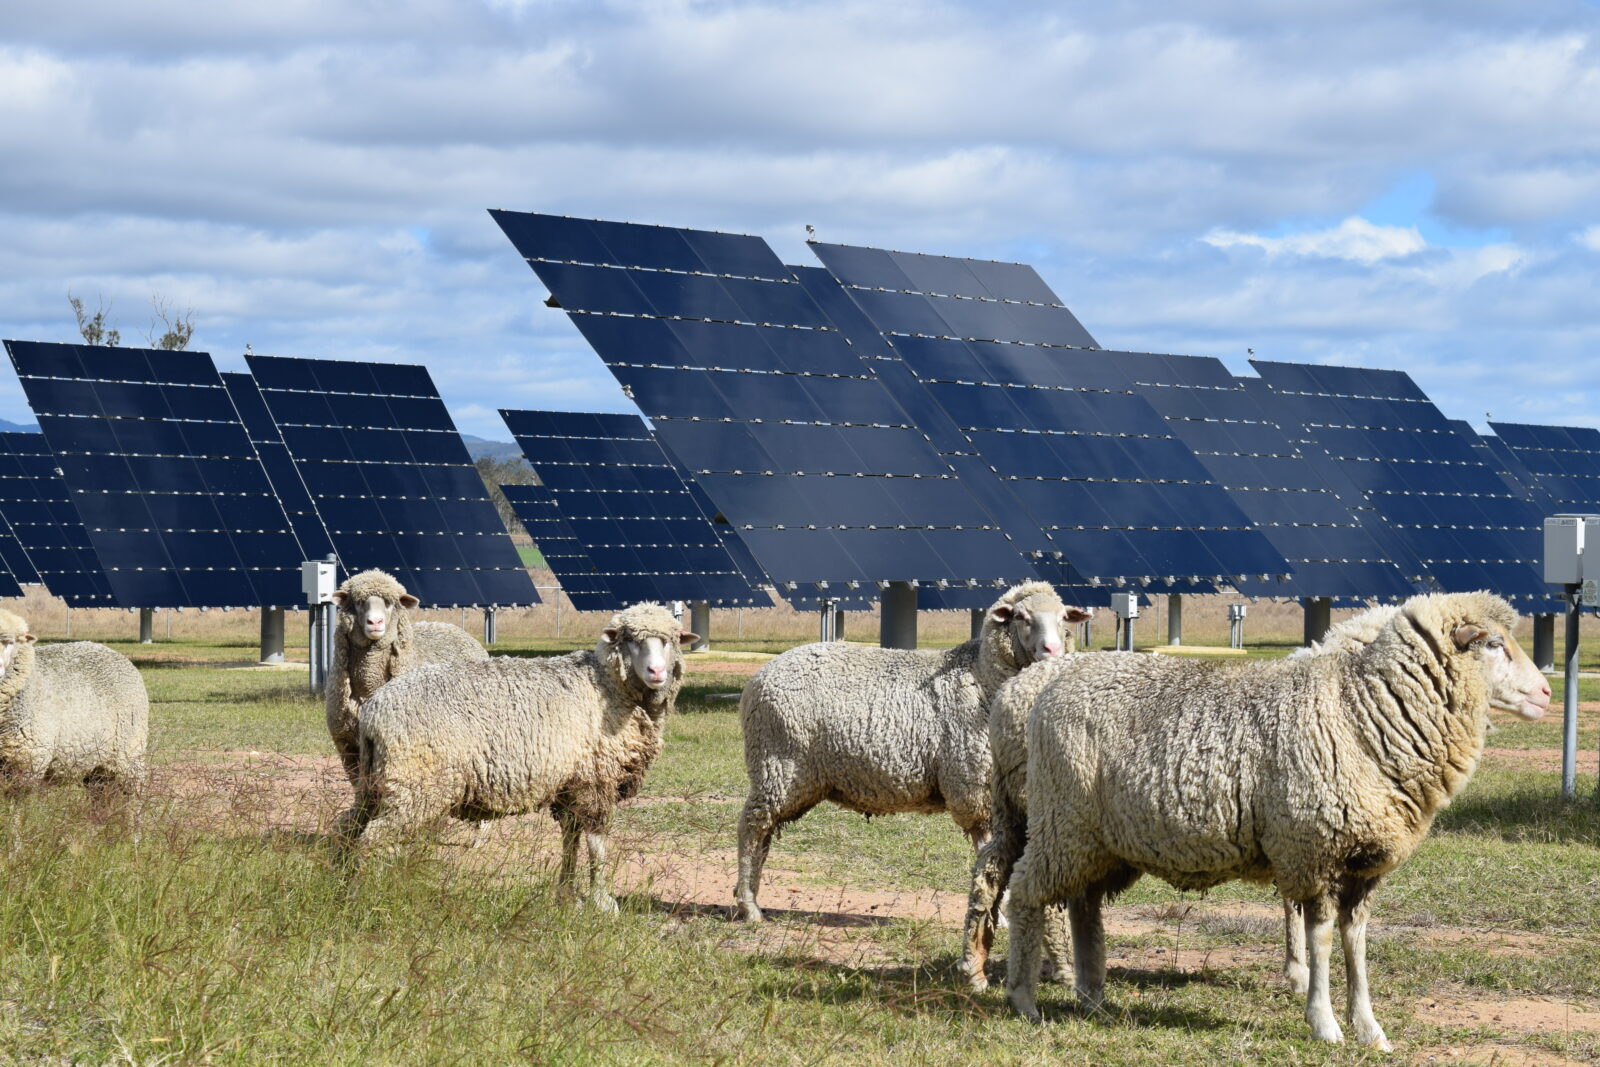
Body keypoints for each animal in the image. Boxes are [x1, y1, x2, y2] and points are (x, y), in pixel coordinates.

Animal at [325, 568, 489, 785]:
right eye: (358, 602)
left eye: (390, 603)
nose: (375, 622)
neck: (367, 689)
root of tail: (454, 628)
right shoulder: (346, 744)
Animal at [335, 603, 697, 910]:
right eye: (630, 640)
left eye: (670, 640)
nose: (656, 672)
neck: (607, 687)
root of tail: (374, 711)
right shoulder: (595, 781)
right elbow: (597, 843)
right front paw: (602, 902)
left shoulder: (569, 785)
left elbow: (571, 840)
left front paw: (566, 895)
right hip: (417, 786)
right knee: (375, 838)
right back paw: (369, 897)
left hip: (378, 783)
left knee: (350, 828)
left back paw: (342, 885)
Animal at [733, 581, 1091, 922]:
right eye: (1020, 617)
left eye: (1063, 617)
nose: (1051, 650)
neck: (982, 677)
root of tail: (758, 678)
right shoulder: (976, 789)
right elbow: (990, 854)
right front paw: (997, 915)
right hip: (777, 764)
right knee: (752, 828)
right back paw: (749, 906)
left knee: (764, 835)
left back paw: (749, 898)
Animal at [1003, 591, 1550, 1050]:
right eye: (1494, 644)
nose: (1546, 693)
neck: (1362, 714)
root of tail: (1052, 685)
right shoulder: (1314, 849)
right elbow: (1322, 939)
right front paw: (1324, 1023)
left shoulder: (1362, 863)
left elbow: (1357, 943)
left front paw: (1370, 1029)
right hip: (1061, 822)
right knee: (1025, 895)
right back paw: (1024, 1000)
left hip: (1100, 841)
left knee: (1083, 906)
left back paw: (1092, 998)